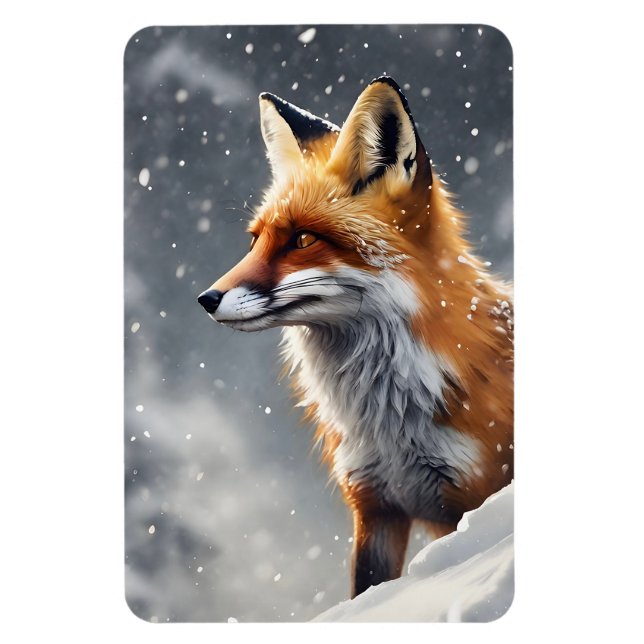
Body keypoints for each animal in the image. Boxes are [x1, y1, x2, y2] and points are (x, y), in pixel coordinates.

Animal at [198, 76, 513, 599]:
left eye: (303, 240)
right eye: (255, 240)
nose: (206, 298)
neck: (388, 423)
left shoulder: (470, 499)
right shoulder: (375, 505)